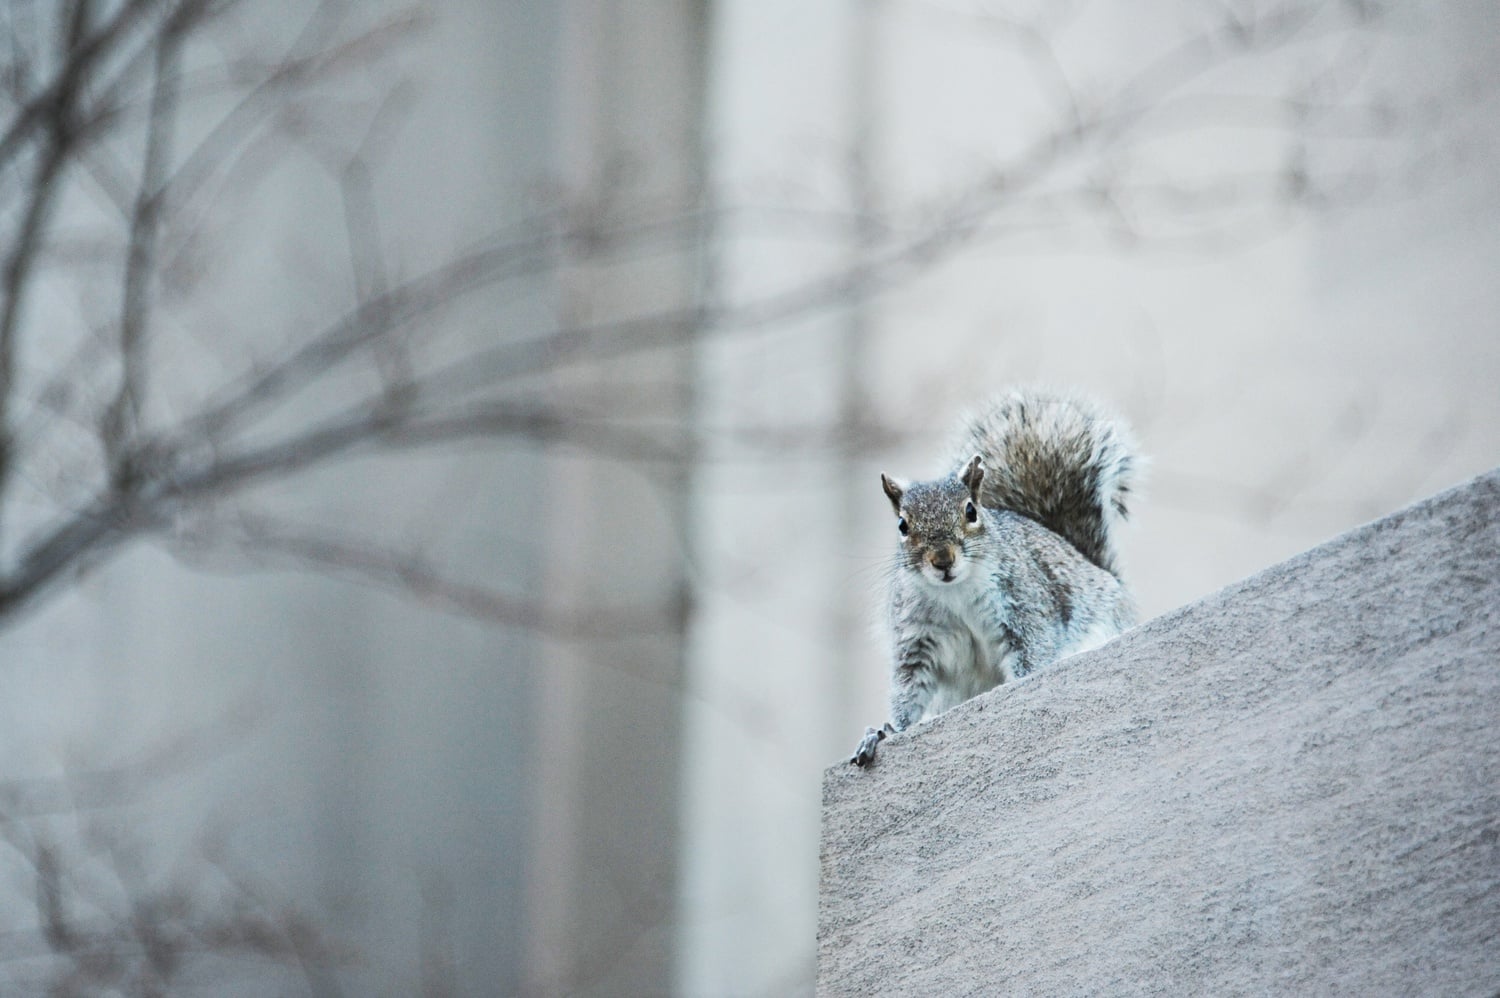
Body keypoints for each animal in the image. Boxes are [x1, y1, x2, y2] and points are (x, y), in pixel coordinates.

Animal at [850, 387, 1142, 767]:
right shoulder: (916, 636)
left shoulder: (1024, 609)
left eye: (970, 511)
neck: (955, 591)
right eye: (902, 525)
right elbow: (909, 690)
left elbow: (1032, 655)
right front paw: (884, 732)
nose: (942, 560)